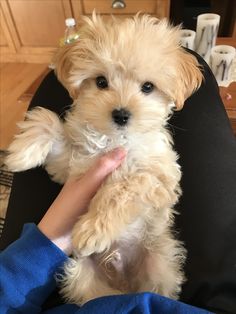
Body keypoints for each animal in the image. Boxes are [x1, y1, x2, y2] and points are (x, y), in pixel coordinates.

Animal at [5, 14, 203, 304]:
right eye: (100, 82)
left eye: (148, 87)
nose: (121, 114)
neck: (114, 140)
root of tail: (123, 280)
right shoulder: (72, 166)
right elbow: (48, 123)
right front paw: (20, 153)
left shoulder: (160, 178)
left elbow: (124, 187)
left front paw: (94, 229)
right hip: (79, 274)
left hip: (161, 262)